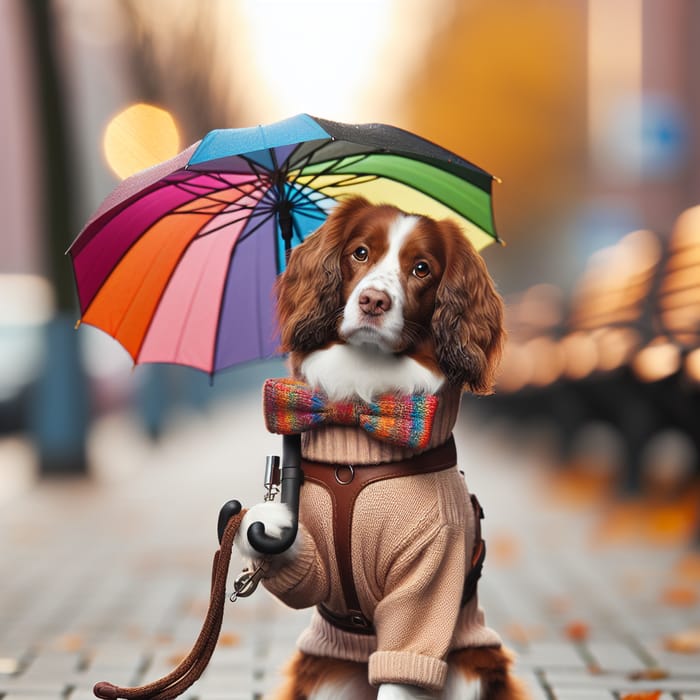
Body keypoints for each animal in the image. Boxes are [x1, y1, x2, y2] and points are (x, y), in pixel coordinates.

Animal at [237, 194, 532, 696]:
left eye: (421, 268)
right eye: (360, 253)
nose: (373, 300)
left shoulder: (429, 576)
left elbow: (403, 664)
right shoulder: (319, 570)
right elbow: (303, 572)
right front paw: (265, 519)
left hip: (473, 665)